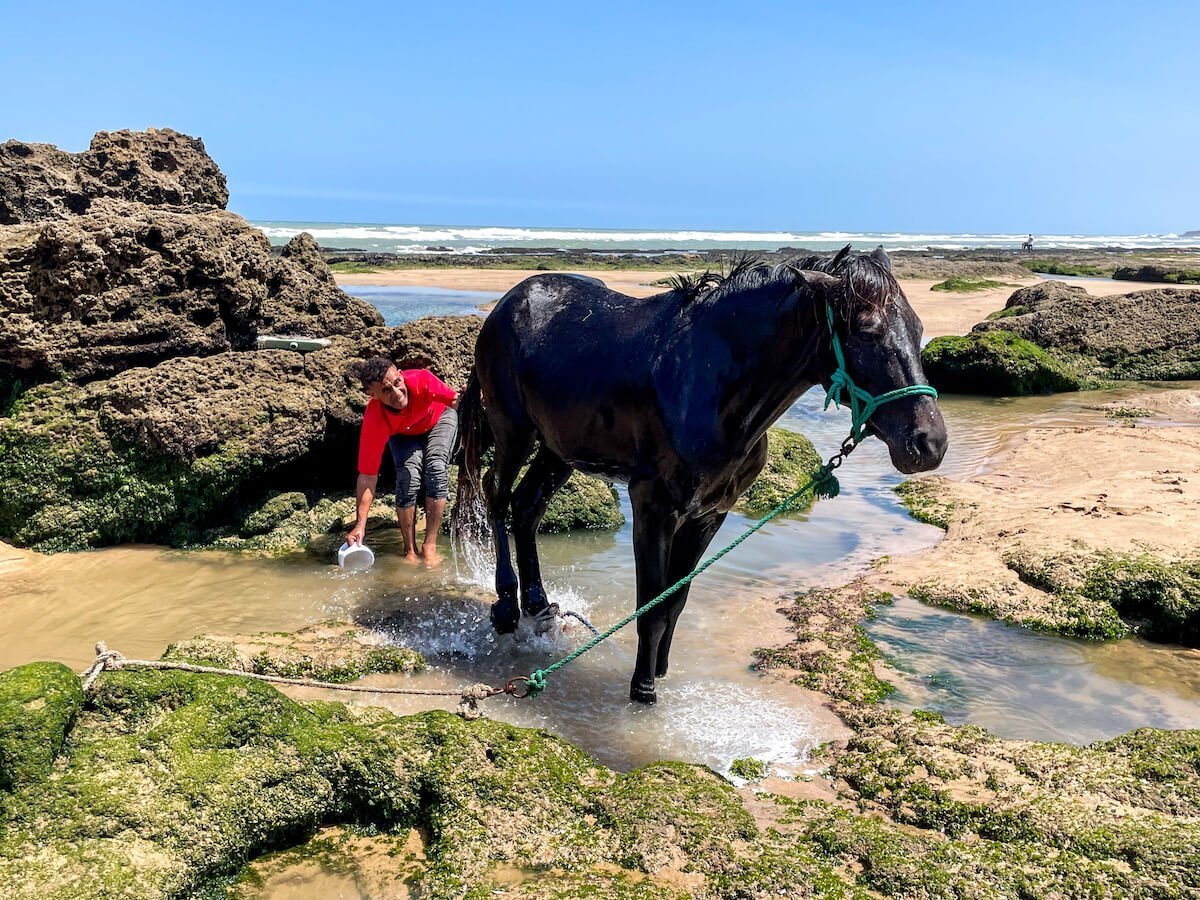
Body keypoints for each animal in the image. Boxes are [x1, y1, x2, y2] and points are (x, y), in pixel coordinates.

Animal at [455, 245, 947, 703]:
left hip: (559, 450)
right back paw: (505, 607)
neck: (710, 385)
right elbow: (650, 607)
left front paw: (661, 671)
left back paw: (539, 607)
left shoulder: (709, 514)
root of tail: (508, 303)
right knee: (496, 496)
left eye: (919, 328)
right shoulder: (653, 507)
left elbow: (674, 601)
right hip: (514, 432)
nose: (929, 444)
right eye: (866, 331)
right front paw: (643, 690)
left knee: (527, 508)